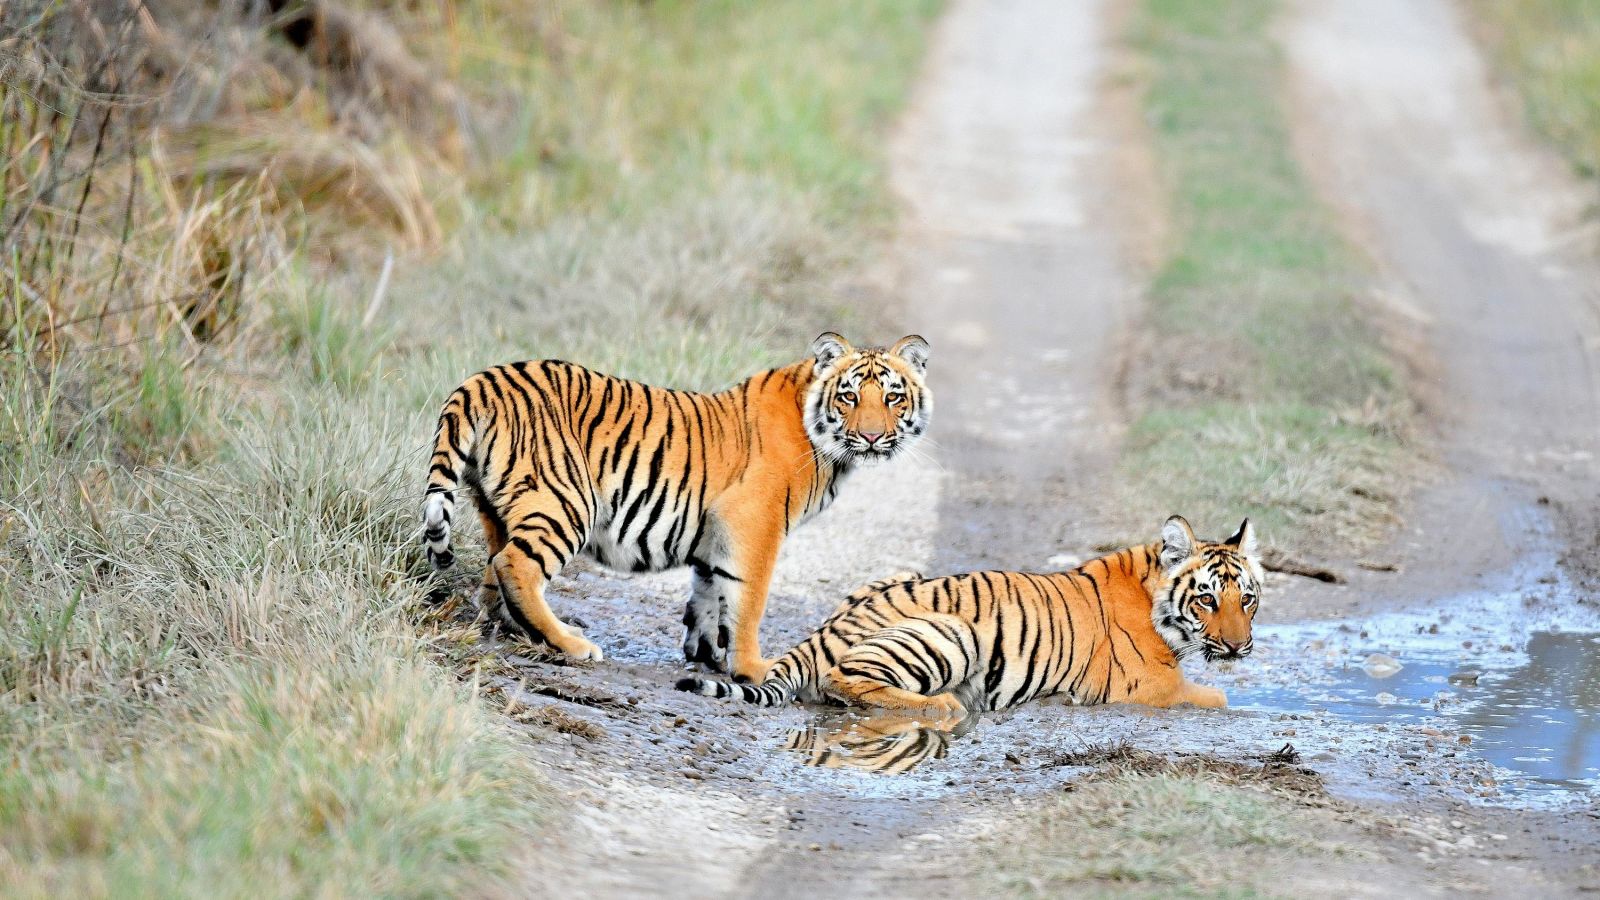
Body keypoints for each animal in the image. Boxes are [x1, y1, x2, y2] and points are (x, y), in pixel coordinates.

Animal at [419, 331, 934, 679]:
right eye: (849, 396)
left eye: (893, 396)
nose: (872, 436)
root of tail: (482, 380)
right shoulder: (753, 522)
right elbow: (749, 600)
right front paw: (753, 667)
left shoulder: (715, 531)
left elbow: (709, 593)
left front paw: (706, 654)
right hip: (566, 502)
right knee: (516, 566)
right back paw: (571, 643)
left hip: (496, 506)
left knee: (494, 569)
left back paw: (510, 628)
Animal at [675, 515, 1260, 711]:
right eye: (1207, 598)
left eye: (1247, 599)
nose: (1238, 646)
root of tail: (818, 635)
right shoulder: (1153, 686)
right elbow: (1219, 698)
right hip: (953, 630)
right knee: (846, 680)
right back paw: (947, 706)